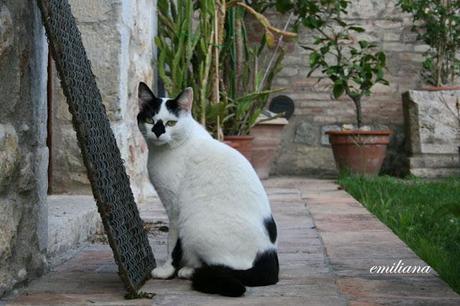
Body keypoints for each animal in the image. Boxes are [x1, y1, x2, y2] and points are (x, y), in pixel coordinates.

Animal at [137, 82, 278, 298]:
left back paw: (190, 271)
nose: (158, 132)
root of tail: (269, 252)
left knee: (227, 267)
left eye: (171, 123)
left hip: (195, 224)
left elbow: (172, 244)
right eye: (149, 120)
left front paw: (167, 270)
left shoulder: (175, 210)